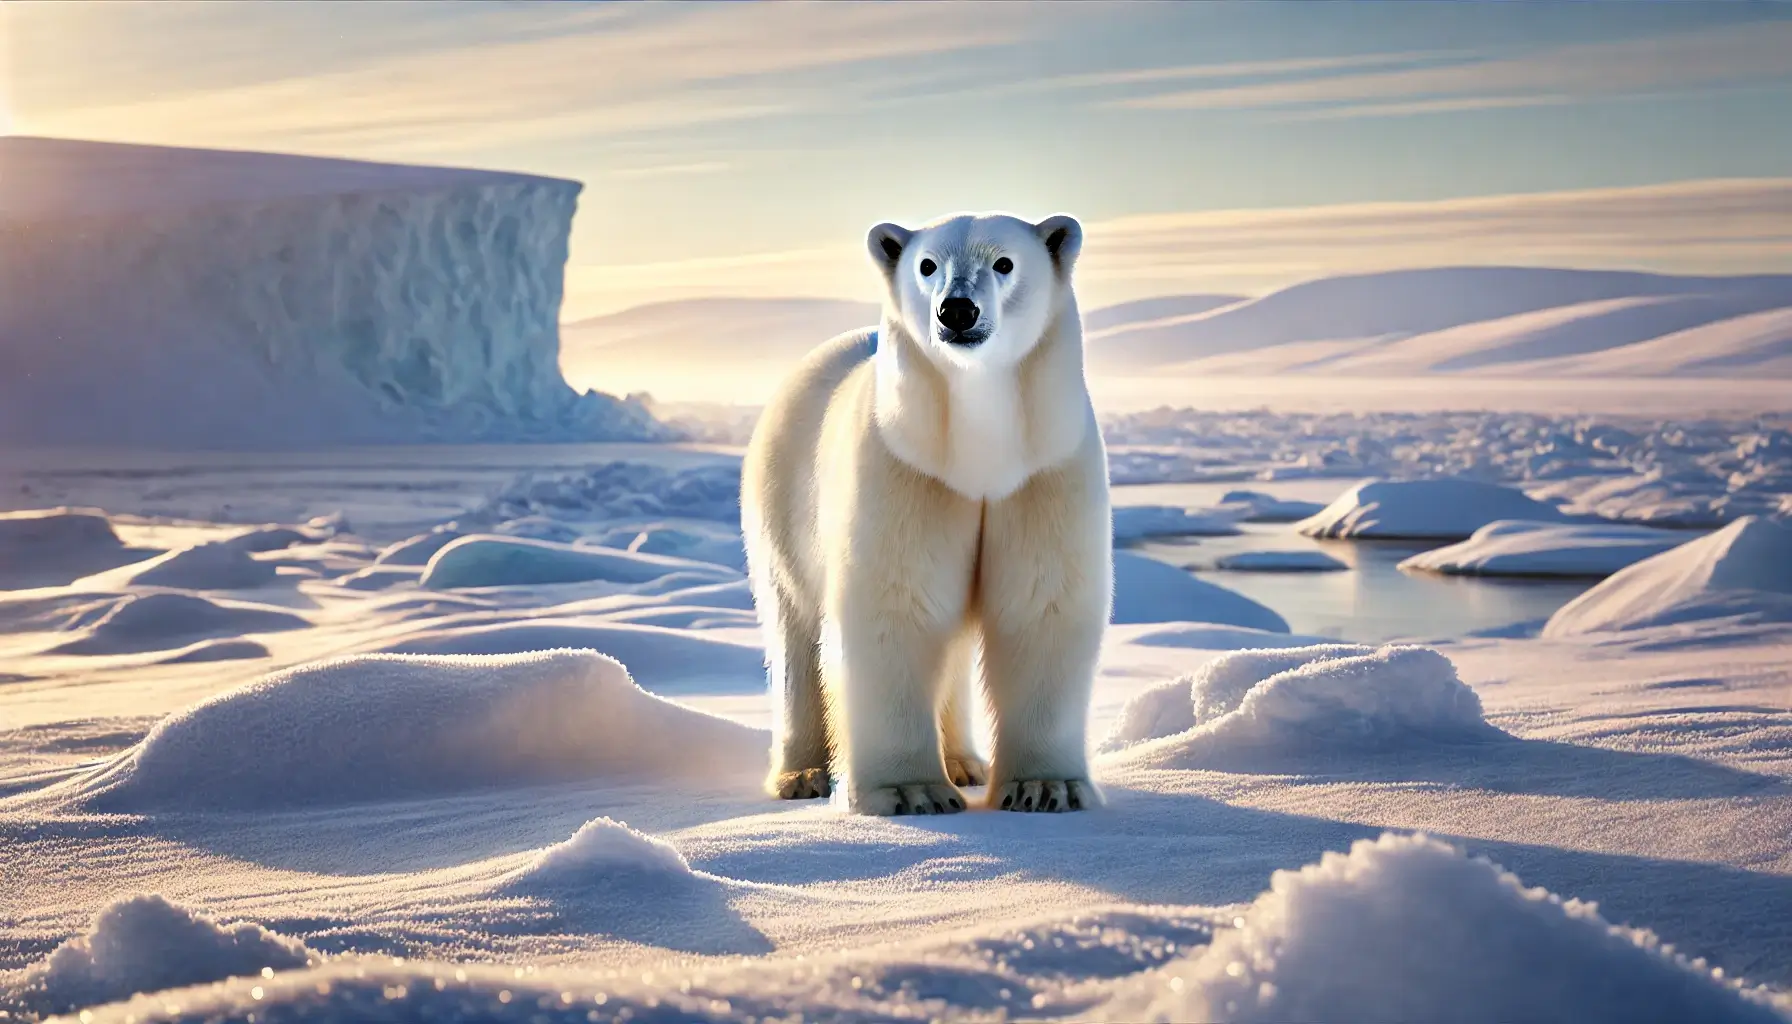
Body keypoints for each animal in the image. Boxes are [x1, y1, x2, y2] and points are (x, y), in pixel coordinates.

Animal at [738, 210, 1103, 817]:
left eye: (1004, 262)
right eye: (927, 264)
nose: (957, 310)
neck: (981, 451)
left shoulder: (1043, 470)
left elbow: (1041, 604)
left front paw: (1048, 788)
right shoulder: (906, 467)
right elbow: (897, 605)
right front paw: (911, 792)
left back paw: (965, 762)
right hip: (779, 501)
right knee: (795, 636)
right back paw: (803, 774)